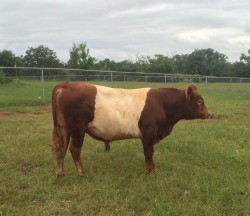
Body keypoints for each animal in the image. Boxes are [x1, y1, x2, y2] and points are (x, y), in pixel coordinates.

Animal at [51, 82, 209, 176]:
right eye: (199, 101)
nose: (208, 114)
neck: (162, 103)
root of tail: (66, 85)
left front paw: (152, 170)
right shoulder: (149, 132)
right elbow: (149, 153)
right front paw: (150, 172)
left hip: (64, 128)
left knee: (61, 148)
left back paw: (60, 172)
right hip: (78, 128)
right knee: (74, 149)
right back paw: (82, 173)